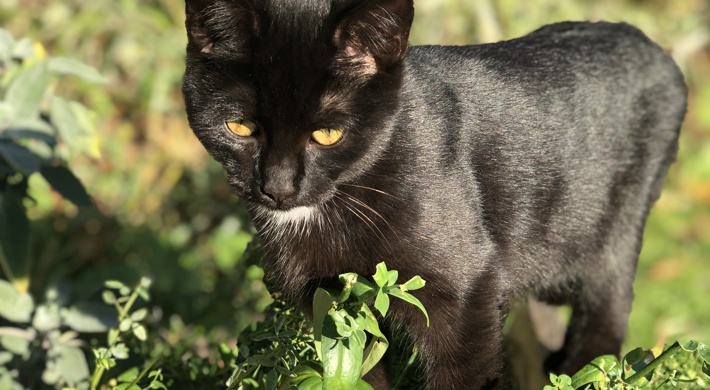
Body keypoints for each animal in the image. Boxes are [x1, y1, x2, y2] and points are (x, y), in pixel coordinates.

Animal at [184, 1, 688, 388]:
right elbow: (357, 370)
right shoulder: (329, 302)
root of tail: (657, 53)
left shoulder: (467, 293)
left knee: (601, 335)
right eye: (239, 127)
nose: (278, 187)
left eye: (327, 134)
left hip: (612, 241)